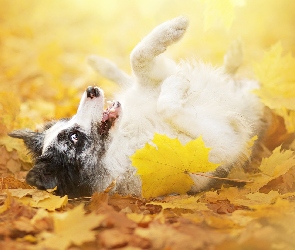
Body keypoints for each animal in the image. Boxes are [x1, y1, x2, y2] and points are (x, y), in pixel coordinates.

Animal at [8, 16, 266, 198]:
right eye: (74, 137)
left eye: (67, 121)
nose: (91, 90)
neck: (127, 137)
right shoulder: (220, 142)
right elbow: (168, 106)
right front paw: (176, 84)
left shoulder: (149, 81)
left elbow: (138, 56)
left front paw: (172, 29)